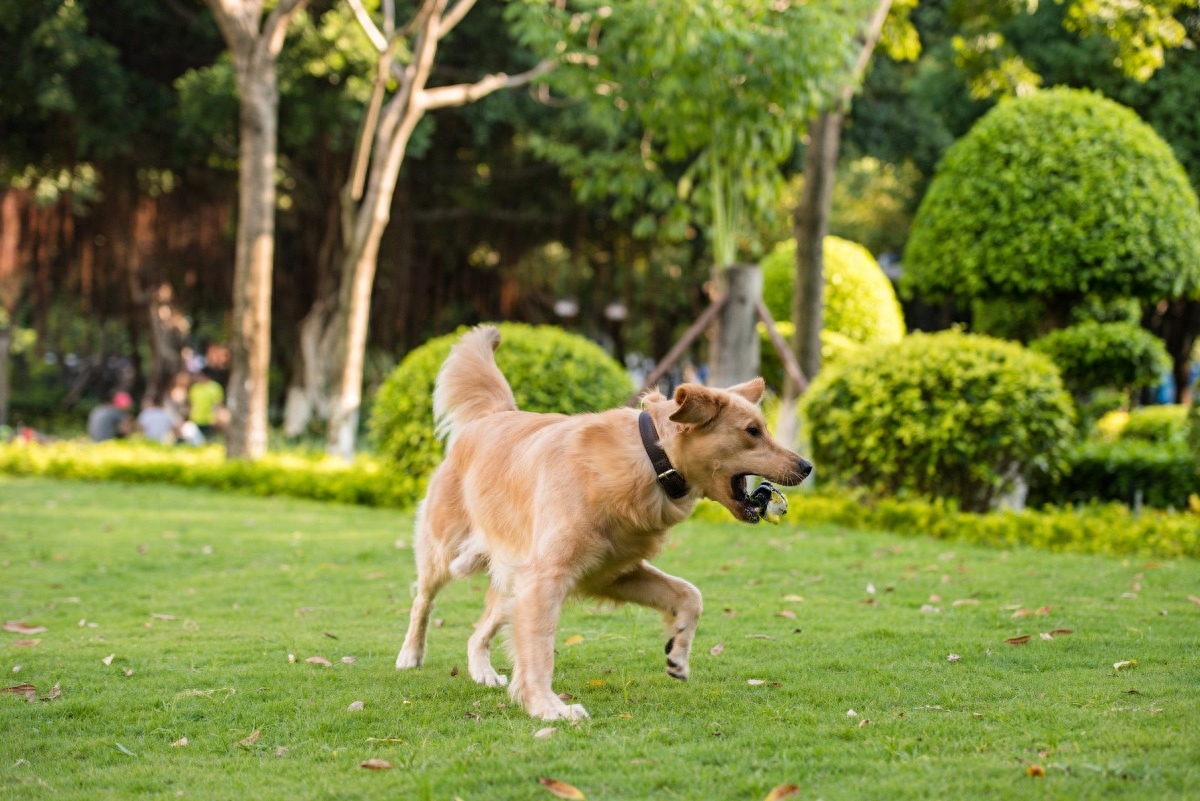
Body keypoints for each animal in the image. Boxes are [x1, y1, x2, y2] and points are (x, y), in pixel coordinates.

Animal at [398, 326, 811, 719]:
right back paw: (410, 654)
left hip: (514, 574)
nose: (807, 466)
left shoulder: (610, 572)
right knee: (422, 599)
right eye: (752, 431)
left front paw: (678, 651)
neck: (651, 459)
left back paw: (482, 671)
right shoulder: (546, 577)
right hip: (447, 554)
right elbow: (539, 648)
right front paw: (548, 707)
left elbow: (689, 594)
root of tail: (494, 415)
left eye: (764, 428)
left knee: (477, 630)